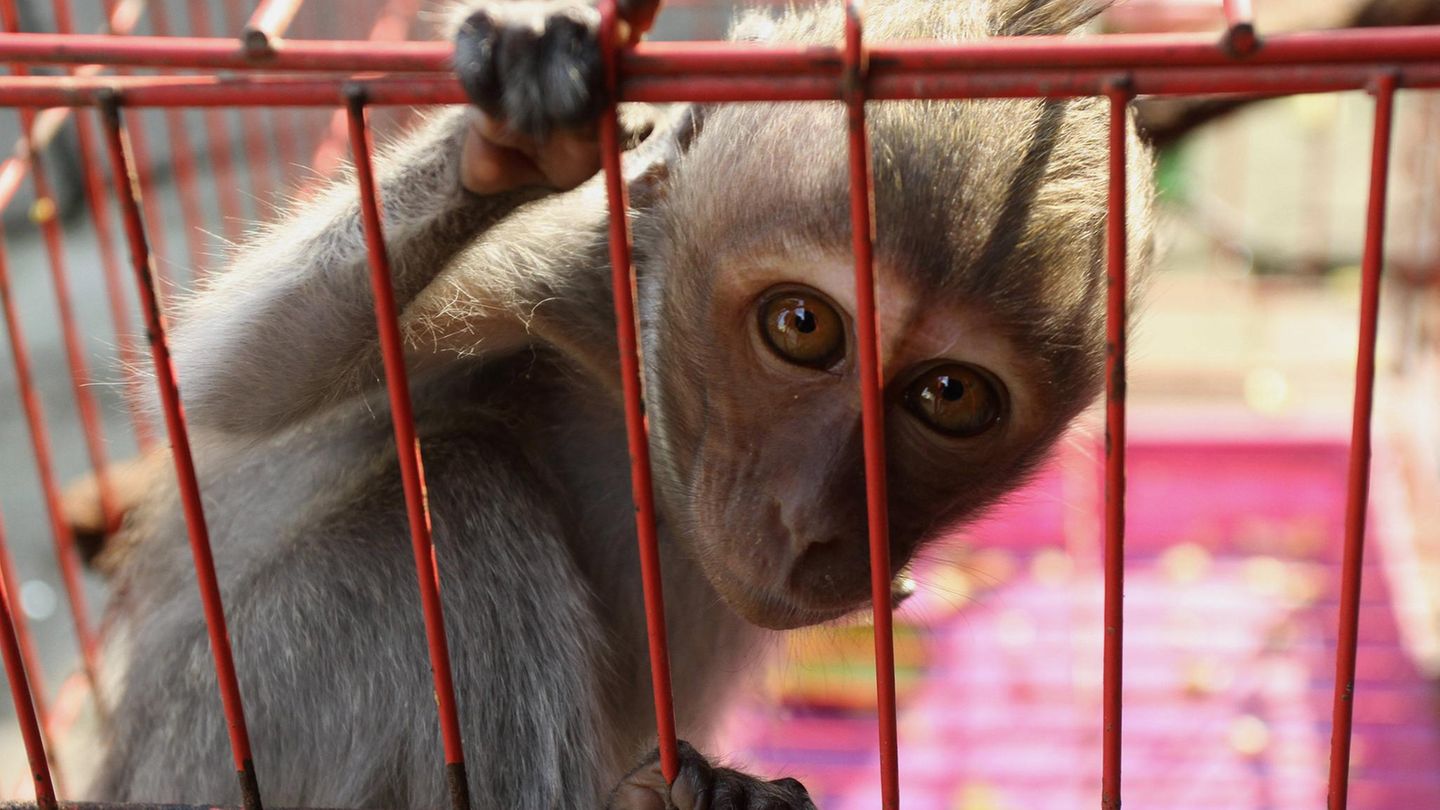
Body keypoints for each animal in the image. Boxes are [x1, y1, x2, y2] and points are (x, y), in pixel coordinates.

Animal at [72, 0, 1154, 807]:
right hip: (212, 746)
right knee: (458, 494)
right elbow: (225, 386)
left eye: (949, 395)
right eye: (803, 326)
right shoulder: (564, 271)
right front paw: (504, 135)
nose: (809, 519)